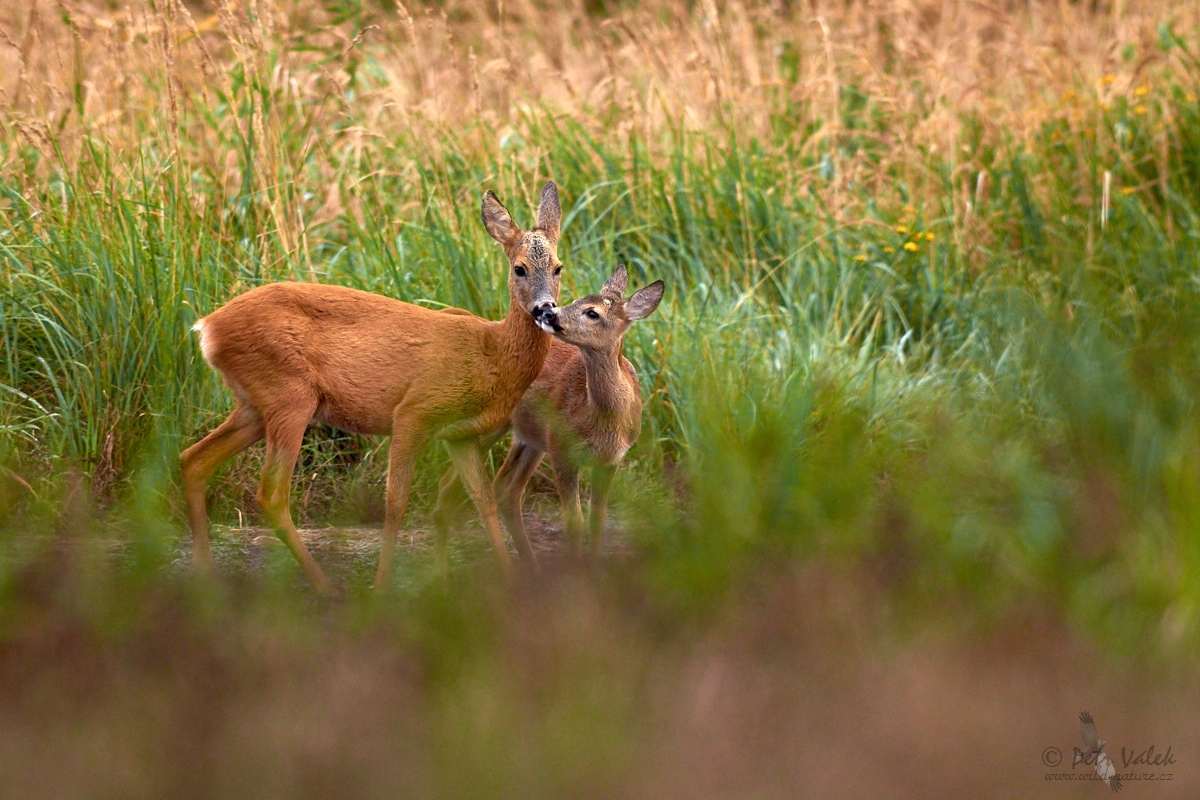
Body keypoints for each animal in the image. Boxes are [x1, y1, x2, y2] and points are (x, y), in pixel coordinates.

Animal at [180, 183, 564, 594]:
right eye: (519, 268)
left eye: (558, 267)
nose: (545, 309)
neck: (491, 352)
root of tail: (207, 328)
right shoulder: (414, 411)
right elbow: (396, 501)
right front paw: (381, 586)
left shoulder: (459, 434)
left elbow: (482, 499)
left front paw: (510, 580)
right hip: (290, 395)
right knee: (270, 493)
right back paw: (326, 587)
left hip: (255, 405)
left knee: (194, 459)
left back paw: (205, 577)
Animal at [441, 266, 667, 561]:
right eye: (575, 300)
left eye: (592, 312)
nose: (548, 313)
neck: (605, 422)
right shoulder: (562, 450)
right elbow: (574, 521)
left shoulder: (610, 460)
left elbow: (598, 518)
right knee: (456, 486)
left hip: (530, 437)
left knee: (504, 490)